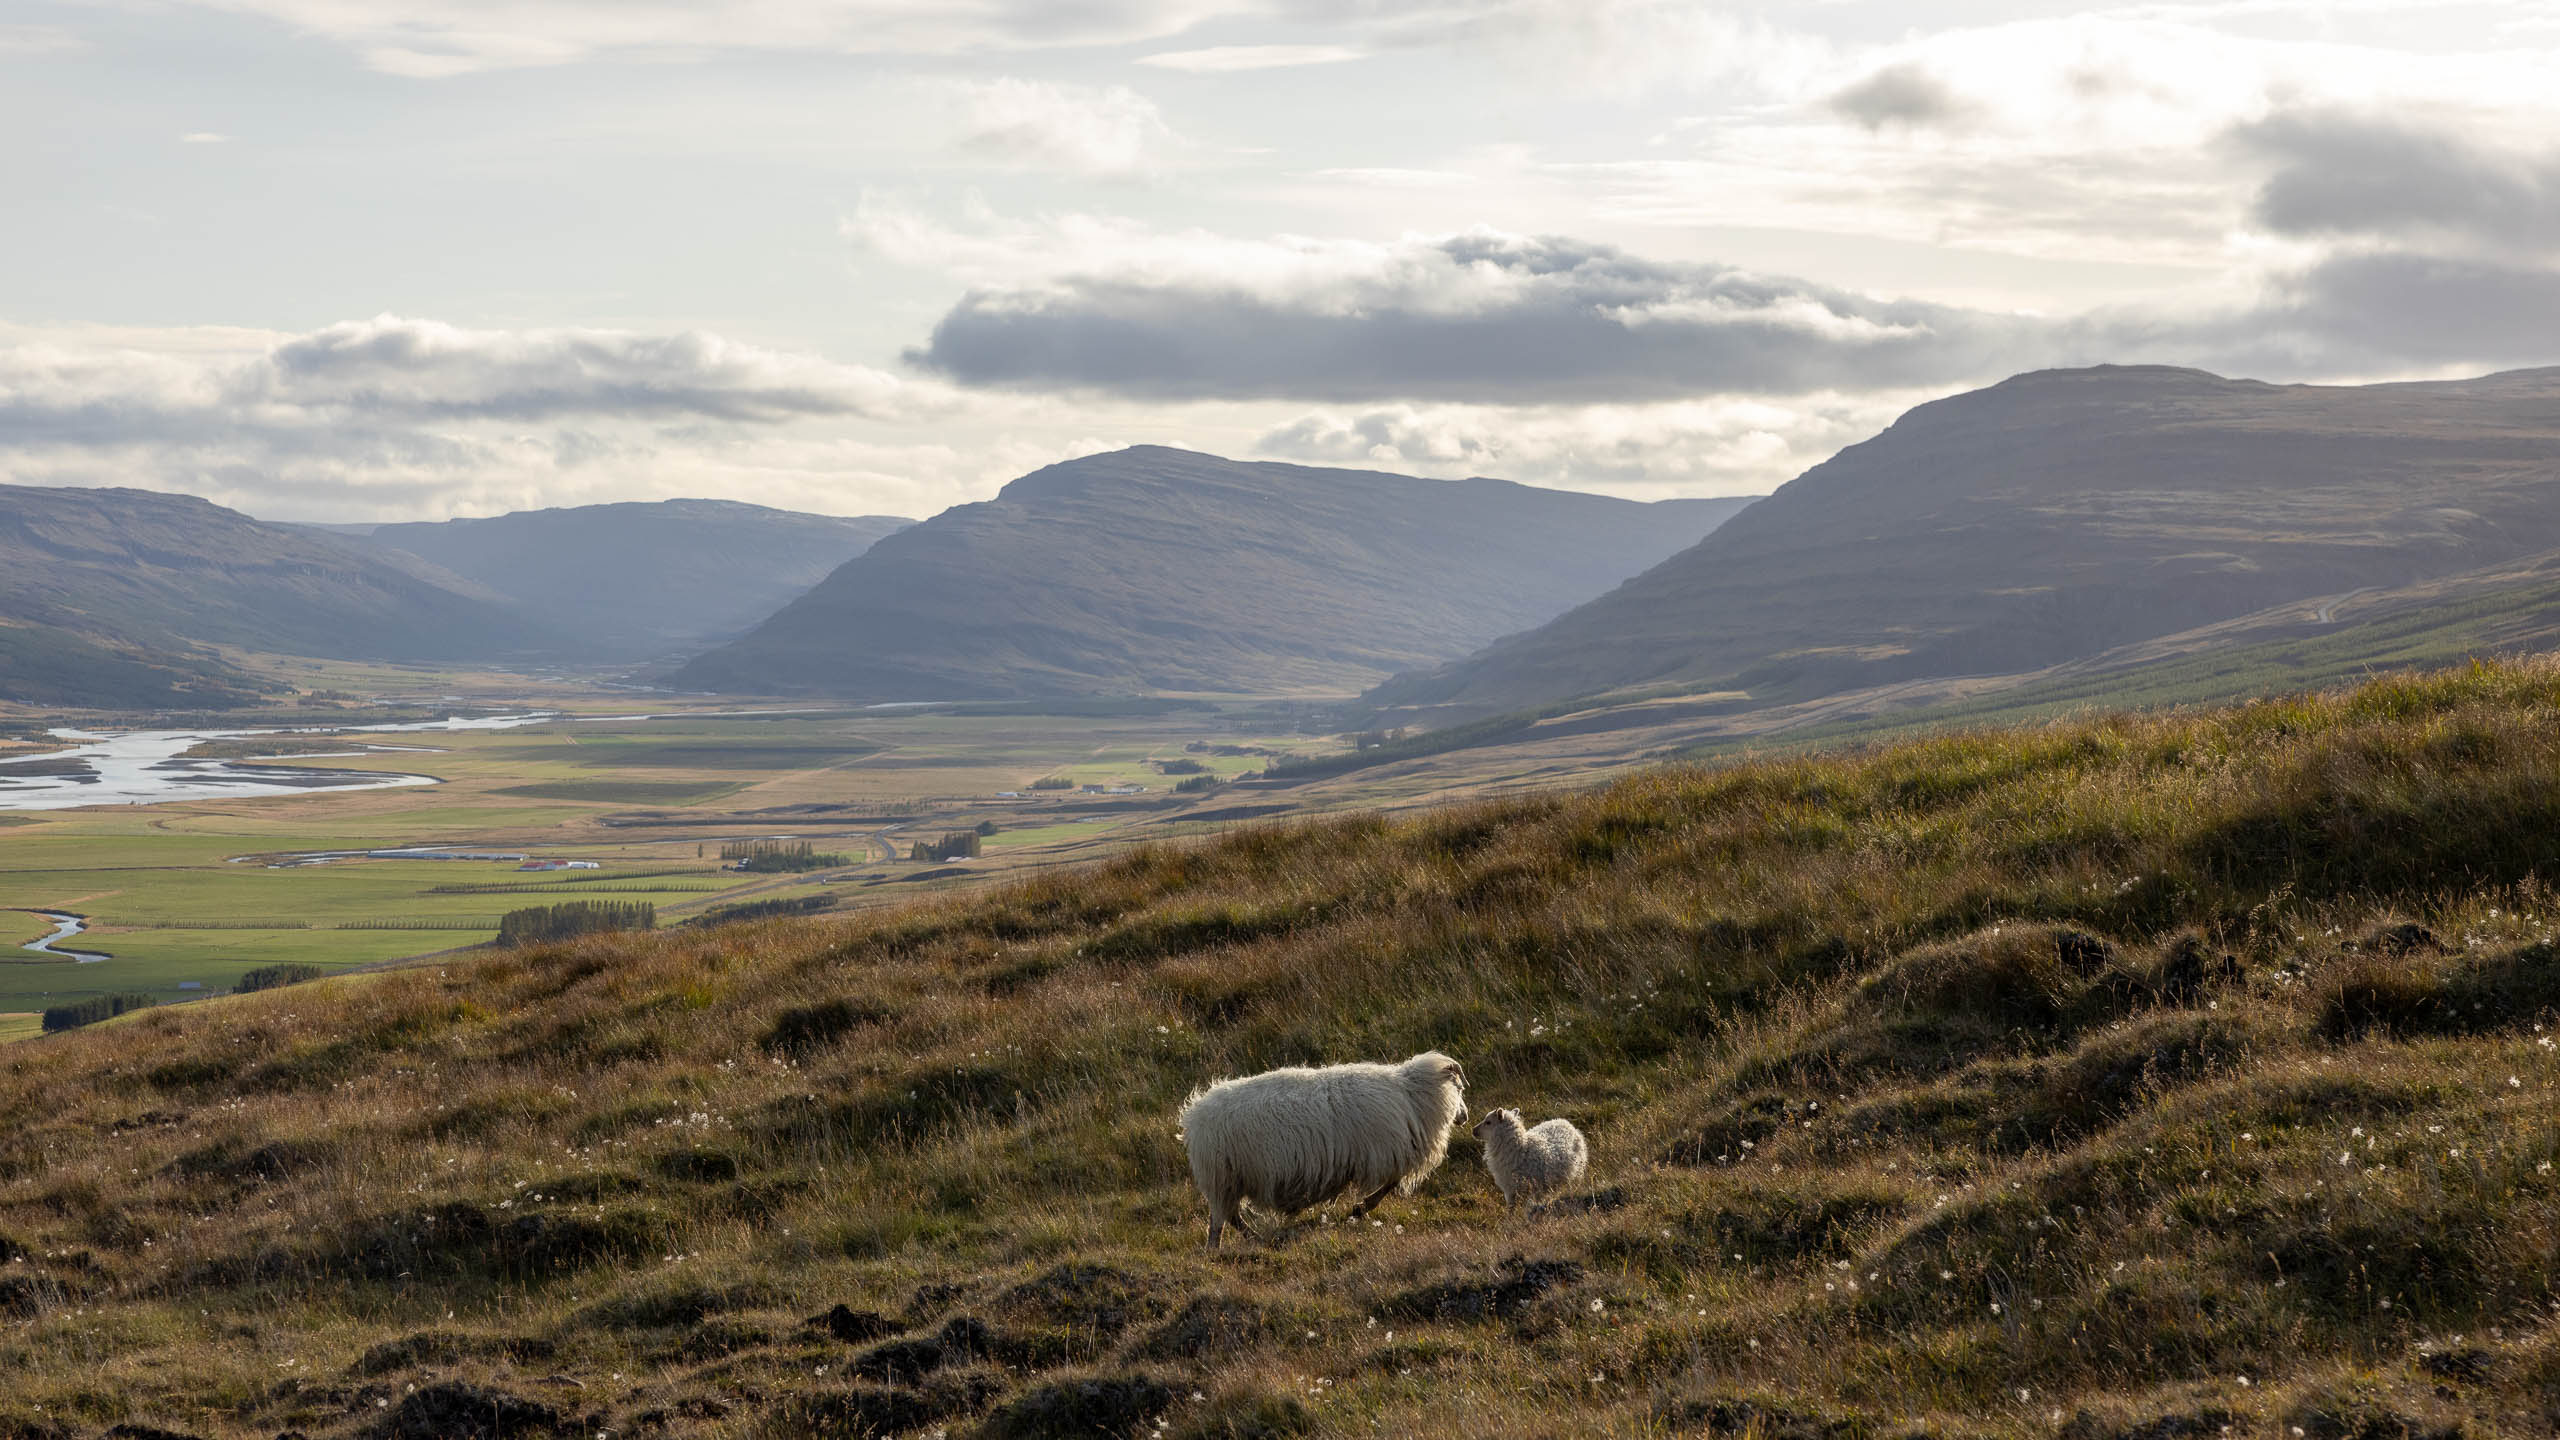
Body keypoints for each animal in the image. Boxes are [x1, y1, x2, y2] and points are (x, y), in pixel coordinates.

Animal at [1172, 1040, 1464, 1245]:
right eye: (1460, 1088)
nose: (1465, 1117)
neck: (1411, 1096)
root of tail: (1193, 1117)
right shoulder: (1384, 1153)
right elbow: (1390, 1184)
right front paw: (1361, 1208)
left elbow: (1391, 1184)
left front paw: (1359, 1208)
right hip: (1223, 1177)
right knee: (1222, 1219)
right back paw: (1221, 1247)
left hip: (1228, 1179)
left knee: (1229, 1216)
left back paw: (1251, 1239)